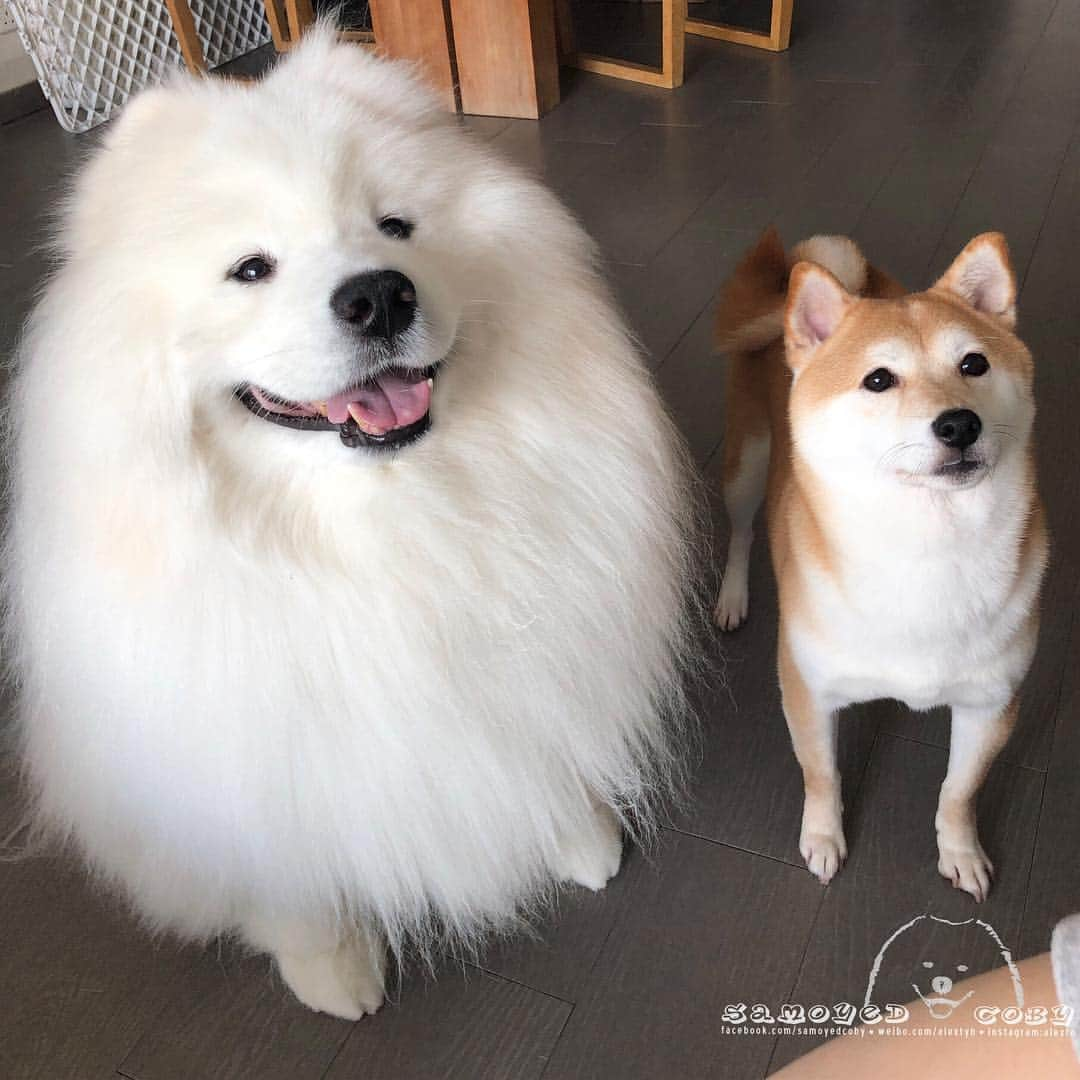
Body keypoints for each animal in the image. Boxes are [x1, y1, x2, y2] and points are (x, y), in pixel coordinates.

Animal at [4, 29, 699, 1015]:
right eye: (251, 269)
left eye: (395, 227)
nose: (380, 295)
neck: (387, 520)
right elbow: (286, 872)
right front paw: (329, 964)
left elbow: (536, 740)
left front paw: (577, 833)